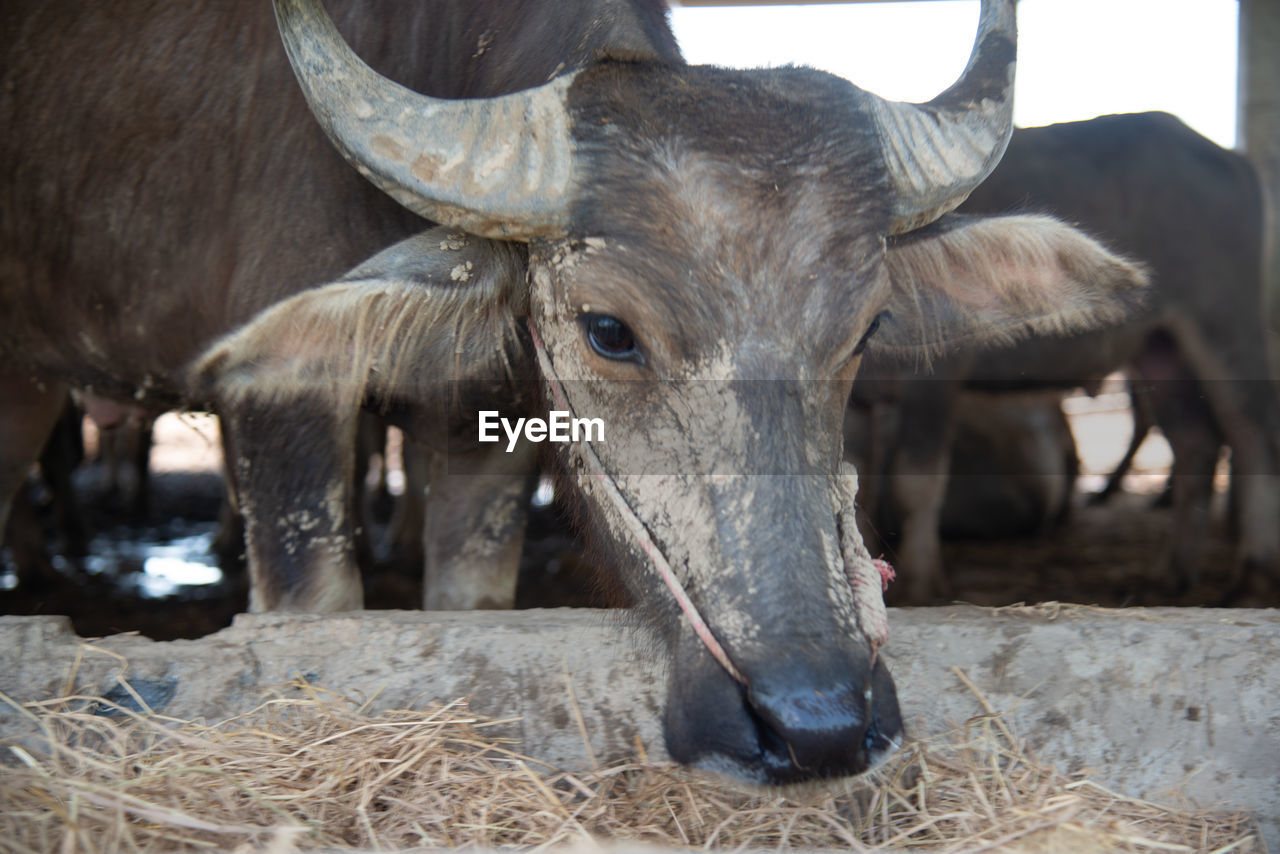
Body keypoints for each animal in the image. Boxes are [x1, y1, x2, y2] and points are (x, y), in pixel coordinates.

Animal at [0, 0, 1141, 783]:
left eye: (865, 330)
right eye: (609, 331)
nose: (814, 722)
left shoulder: (485, 431)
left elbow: (469, 596)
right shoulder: (285, 412)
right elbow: (316, 607)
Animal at [860, 113, 1280, 604]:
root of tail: (1231, 159)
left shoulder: (936, 377)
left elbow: (916, 480)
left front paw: (922, 584)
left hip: (1227, 329)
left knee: (1255, 435)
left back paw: (1254, 577)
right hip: (1159, 348)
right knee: (1197, 441)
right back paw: (1173, 573)